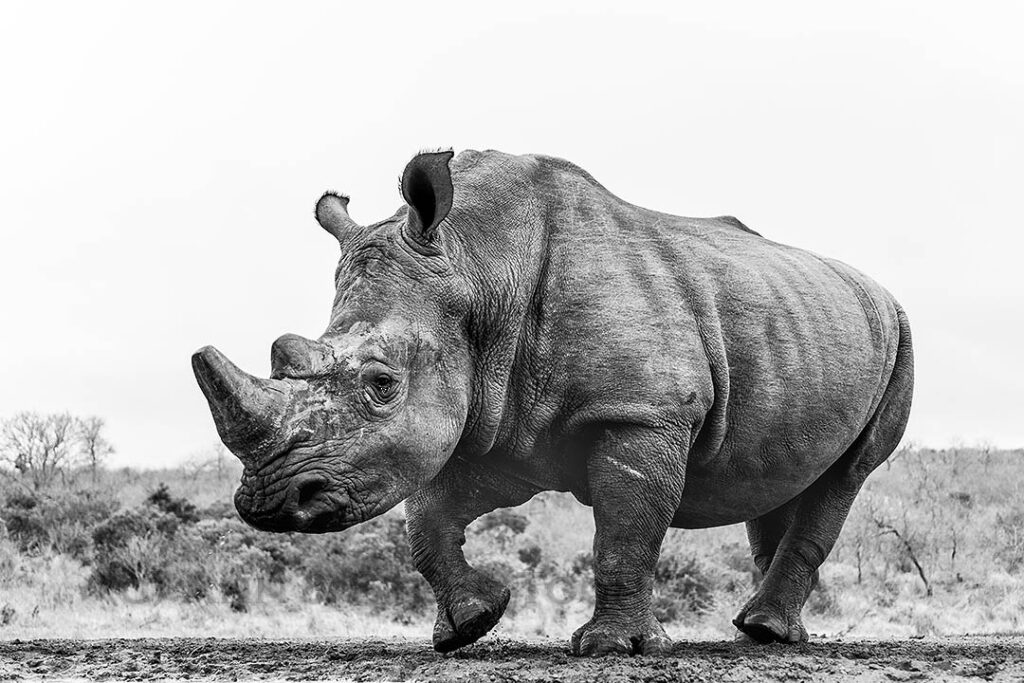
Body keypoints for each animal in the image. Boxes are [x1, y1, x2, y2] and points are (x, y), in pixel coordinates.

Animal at [192, 149, 913, 655]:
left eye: (381, 385)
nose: (270, 502)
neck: (477, 265)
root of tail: (877, 288)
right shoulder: (488, 422)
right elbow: (427, 521)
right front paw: (469, 625)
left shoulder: (642, 411)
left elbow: (623, 530)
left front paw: (611, 648)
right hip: (807, 326)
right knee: (778, 475)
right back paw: (758, 633)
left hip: (899, 334)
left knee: (848, 474)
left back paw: (764, 632)